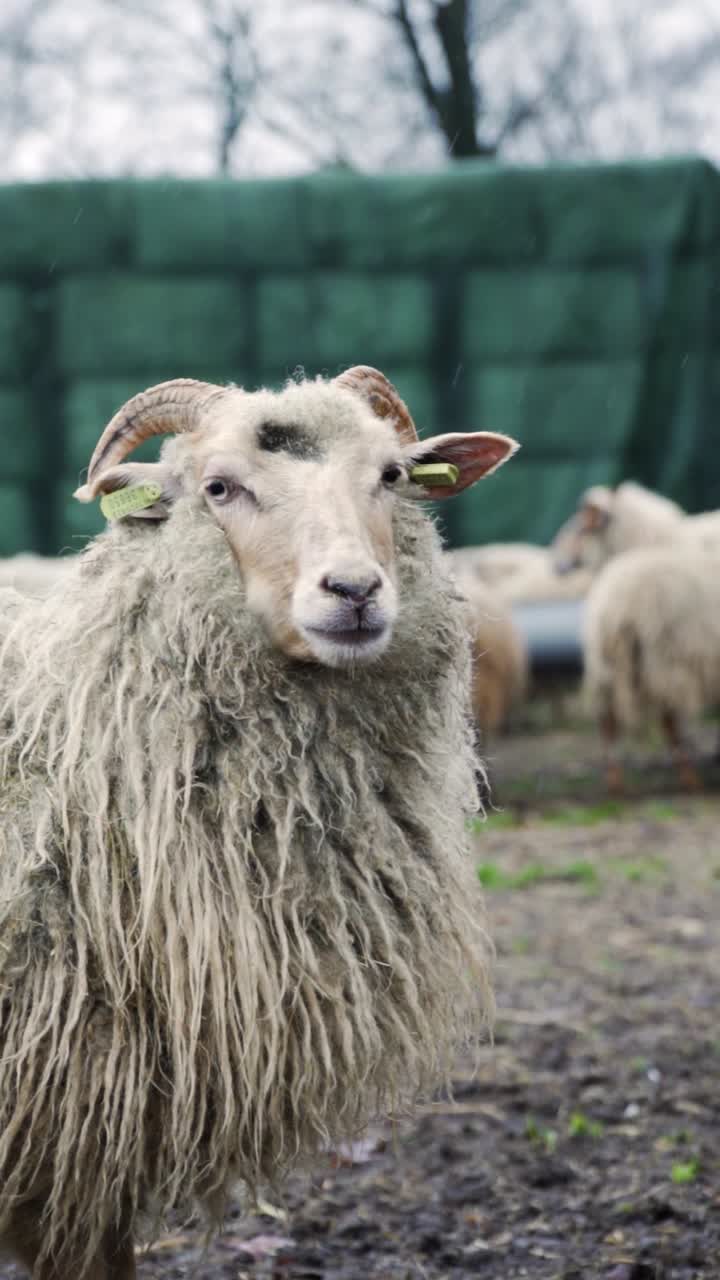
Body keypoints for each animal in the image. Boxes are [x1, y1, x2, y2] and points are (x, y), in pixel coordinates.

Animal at [582, 545, 720, 792]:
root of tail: (611, 607)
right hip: (665, 662)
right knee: (668, 723)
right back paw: (690, 778)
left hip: (607, 669)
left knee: (608, 721)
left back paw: (614, 780)